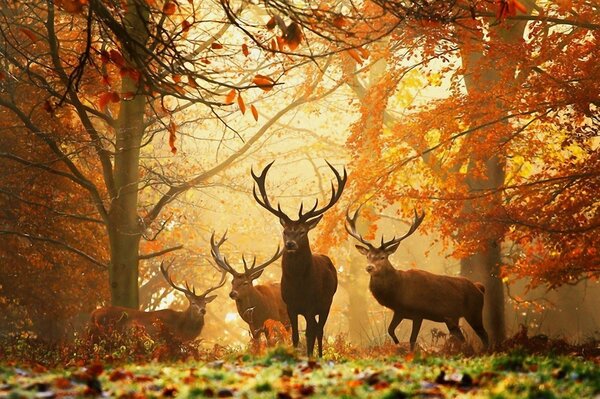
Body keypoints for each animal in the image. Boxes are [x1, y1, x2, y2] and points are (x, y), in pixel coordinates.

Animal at [252, 161, 346, 358]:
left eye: (302, 231)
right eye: (285, 231)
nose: (290, 244)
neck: (298, 285)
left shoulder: (311, 305)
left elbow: (309, 334)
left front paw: (310, 357)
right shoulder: (291, 306)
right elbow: (295, 336)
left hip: (327, 302)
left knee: (319, 330)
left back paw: (319, 356)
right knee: (316, 329)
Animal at [344, 208, 490, 352]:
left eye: (382, 257)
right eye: (368, 256)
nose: (369, 267)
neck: (398, 291)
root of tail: (479, 287)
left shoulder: (418, 313)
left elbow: (412, 339)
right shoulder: (399, 311)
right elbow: (390, 330)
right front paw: (398, 345)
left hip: (474, 311)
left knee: (484, 335)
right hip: (452, 318)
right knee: (462, 338)